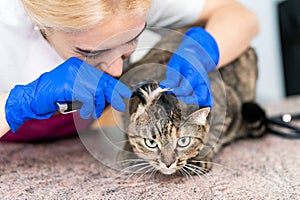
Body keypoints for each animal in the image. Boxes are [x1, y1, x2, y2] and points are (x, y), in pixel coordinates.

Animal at [118, 28, 266, 175]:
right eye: (151, 143)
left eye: (183, 141)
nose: (168, 164)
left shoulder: (228, 106)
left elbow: (212, 136)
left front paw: (201, 157)